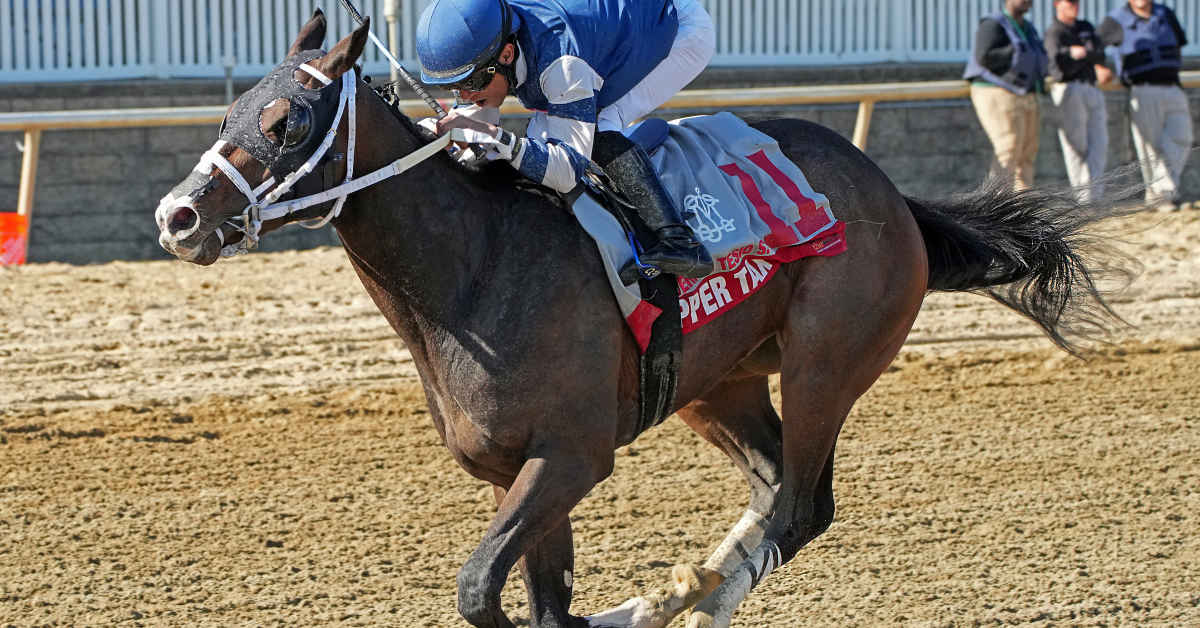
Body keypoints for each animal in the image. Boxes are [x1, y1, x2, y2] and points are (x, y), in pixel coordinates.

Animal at [157, 12, 1123, 624]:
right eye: (231, 111)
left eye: (286, 119)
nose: (178, 216)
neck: (472, 272)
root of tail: (893, 197)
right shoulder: (516, 469)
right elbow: (538, 598)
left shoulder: (571, 457)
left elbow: (481, 591)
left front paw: (641, 601)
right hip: (717, 385)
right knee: (773, 490)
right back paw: (691, 588)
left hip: (828, 363)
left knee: (801, 508)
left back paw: (681, 600)